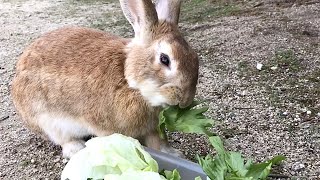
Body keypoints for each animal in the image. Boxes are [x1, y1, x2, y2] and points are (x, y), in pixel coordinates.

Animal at [11, 0, 199, 158]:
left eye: (195, 57)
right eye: (164, 59)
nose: (185, 100)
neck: (130, 83)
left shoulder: (152, 128)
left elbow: (158, 143)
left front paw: (174, 155)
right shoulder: (104, 126)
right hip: (46, 120)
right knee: (63, 139)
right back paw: (76, 148)